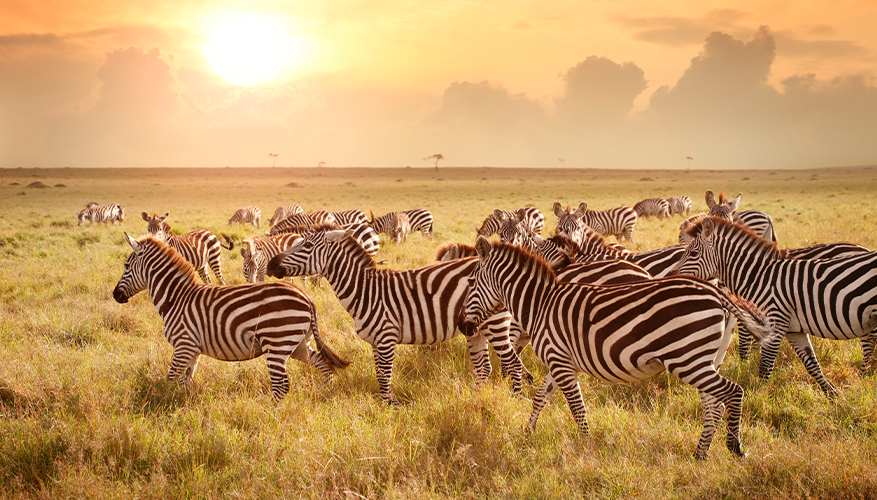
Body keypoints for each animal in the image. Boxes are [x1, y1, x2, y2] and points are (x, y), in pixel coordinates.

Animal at [113, 232, 350, 400]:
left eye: (126, 265)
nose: (115, 295)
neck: (177, 299)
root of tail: (307, 298)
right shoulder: (193, 349)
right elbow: (185, 380)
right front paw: (184, 404)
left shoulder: (184, 344)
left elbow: (172, 377)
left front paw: (170, 404)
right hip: (298, 343)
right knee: (322, 363)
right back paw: (325, 392)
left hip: (276, 343)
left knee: (281, 385)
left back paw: (271, 415)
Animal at [266, 228, 524, 406]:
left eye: (308, 245)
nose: (270, 265)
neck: (365, 291)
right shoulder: (374, 341)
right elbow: (380, 374)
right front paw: (387, 405)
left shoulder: (386, 337)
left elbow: (384, 376)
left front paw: (391, 408)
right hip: (475, 328)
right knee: (484, 368)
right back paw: (475, 398)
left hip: (495, 324)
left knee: (512, 363)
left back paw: (516, 400)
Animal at [458, 236, 772, 458]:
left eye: (470, 282)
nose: (462, 326)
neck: (541, 304)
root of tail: (716, 291)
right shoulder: (560, 362)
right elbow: (539, 397)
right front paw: (527, 433)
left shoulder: (560, 362)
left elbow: (577, 408)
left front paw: (585, 448)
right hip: (705, 360)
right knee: (714, 406)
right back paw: (700, 455)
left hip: (688, 360)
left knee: (733, 393)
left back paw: (734, 447)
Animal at [672, 219, 876, 394]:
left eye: (693, 254)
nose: (672, 275)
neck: (759, 276)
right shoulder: (793, 329)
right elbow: (812, 364)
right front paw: (832, 395)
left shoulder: (774, 323)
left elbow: (764, 366)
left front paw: (758, 399)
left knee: (868, 348)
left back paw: (864, 379)